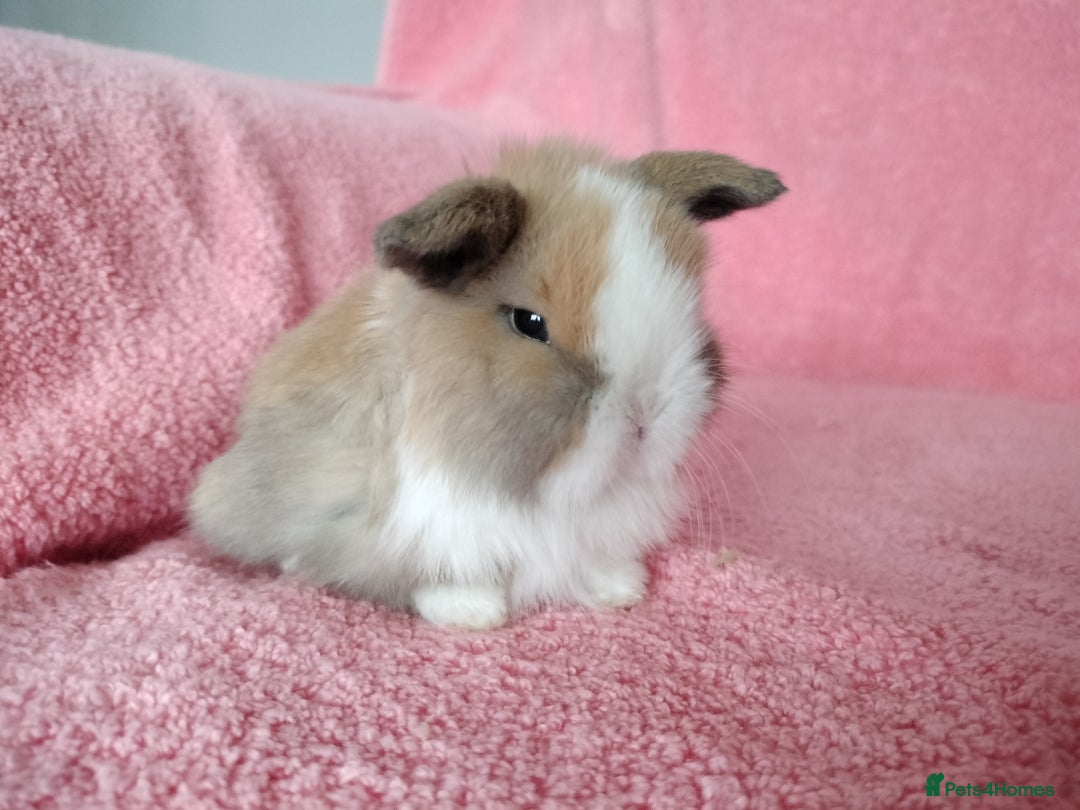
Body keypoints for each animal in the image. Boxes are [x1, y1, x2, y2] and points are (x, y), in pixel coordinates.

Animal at [189, 139, 785, 629]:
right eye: (529, 322)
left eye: (692, 311)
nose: (648, 414)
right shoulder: (409, 521)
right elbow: (429, 575)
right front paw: (474, 613)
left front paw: (619, 589)